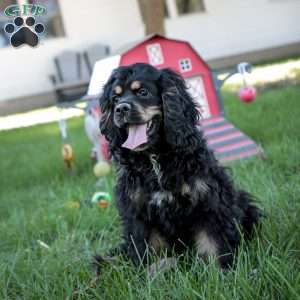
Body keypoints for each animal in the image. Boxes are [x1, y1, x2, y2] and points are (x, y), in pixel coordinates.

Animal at [98, 62, 260, 270]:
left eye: (143, 92)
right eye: (115, 98)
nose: (120, 109)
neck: (155, 159)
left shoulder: (208, 200)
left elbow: (213, 242)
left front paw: (219, 271)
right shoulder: (137, 211)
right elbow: (149, 248)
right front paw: (155, 270)